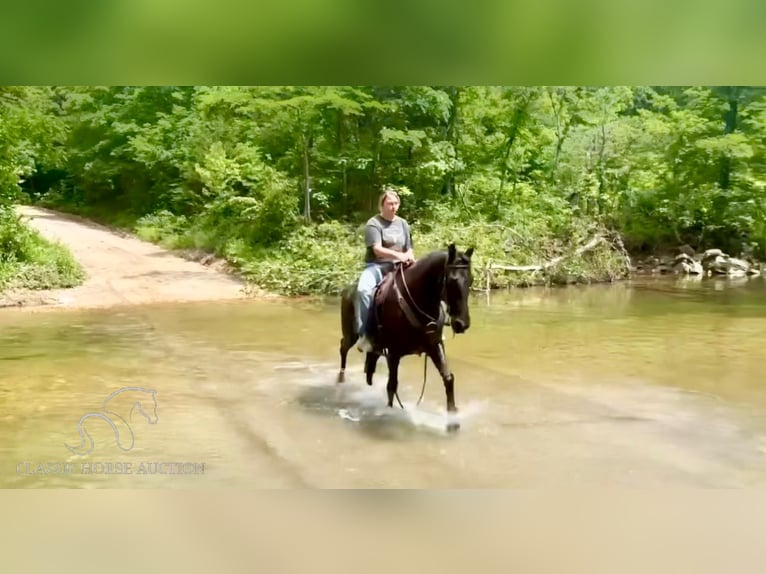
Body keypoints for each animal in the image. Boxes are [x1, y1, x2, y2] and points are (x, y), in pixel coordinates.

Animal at [340, 244, 474, 432]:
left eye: (471, 280)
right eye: (452, 281)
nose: (462, 324)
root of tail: (347, 290)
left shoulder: (435, 345)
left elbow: (448, 378)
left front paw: (452, 422)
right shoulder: (393, 353)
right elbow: (392, 385)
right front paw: (389, 414)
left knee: (369, 363)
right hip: (350, 335)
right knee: (343, 349)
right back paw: (341, 381)